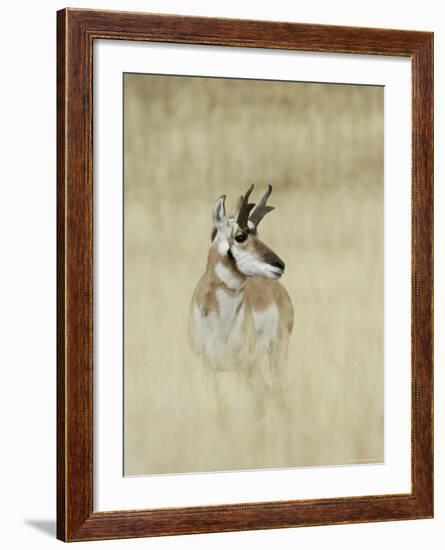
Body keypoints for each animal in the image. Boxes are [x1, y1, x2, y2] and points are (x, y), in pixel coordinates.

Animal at [189, 187, 294, 392]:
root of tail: (278, 289)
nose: (280, 265)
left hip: (276, 353)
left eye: (258, 235)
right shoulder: (207, 367)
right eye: (240, 236)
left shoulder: (244, 366)